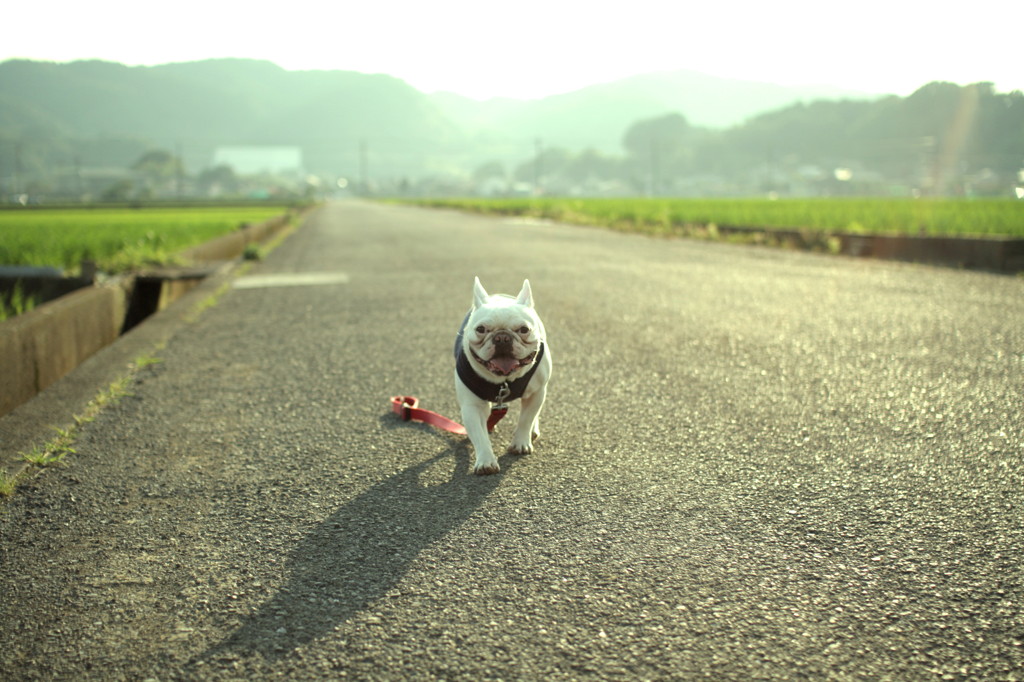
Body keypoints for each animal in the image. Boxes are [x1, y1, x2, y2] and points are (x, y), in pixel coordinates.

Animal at [456, 276, 552, 473]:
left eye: (524, 329)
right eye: (480, 329)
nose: (502, 337)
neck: (504, 380)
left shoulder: (536, 393)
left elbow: (526, 418)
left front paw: (520, 443)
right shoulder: (471, 406)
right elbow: (479, 434)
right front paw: (486, 461)